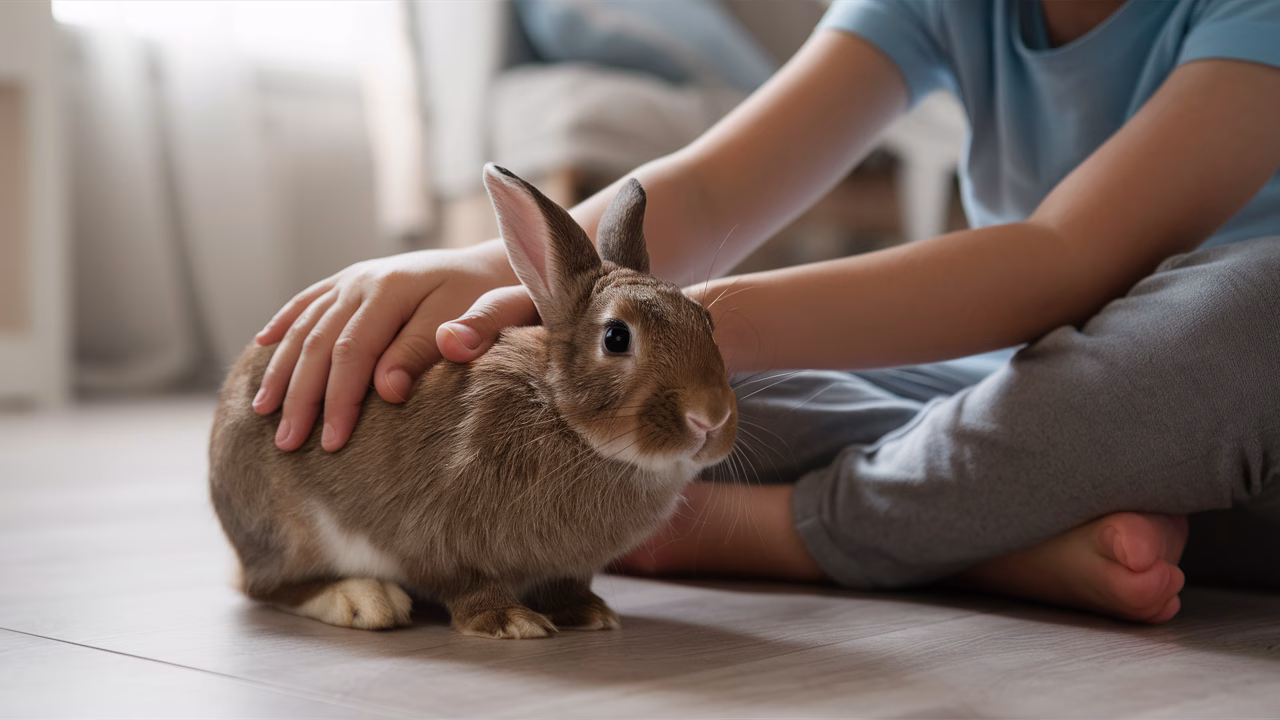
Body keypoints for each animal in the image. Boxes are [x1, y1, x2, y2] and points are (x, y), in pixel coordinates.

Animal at [209, 164, 738, 639]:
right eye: (616, 337)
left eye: (708, 322)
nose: (710, 418)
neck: (561, 416)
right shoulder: (437, 535)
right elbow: (466, 583)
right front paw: (510, 621)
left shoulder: (566, 567)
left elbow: (566, 587)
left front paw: (589, 613)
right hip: (293, 529)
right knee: (269, 587)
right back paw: (364, 600)